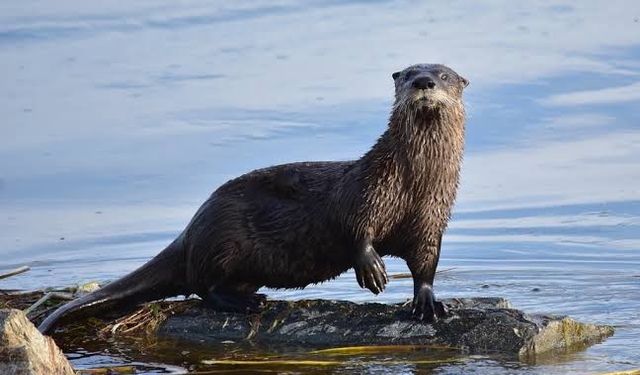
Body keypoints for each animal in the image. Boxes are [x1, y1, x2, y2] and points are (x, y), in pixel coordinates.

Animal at [40, 64, 470, 334]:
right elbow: (352, 227)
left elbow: (426, 262)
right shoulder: (367, 191)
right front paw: (372, 268)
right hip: (223, 240)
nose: (424, 82)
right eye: (408, 74)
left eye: (443, 75)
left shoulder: (431, 218)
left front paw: (428, 302)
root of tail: (191, 230)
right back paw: (245, 302)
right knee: (203, 286)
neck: (413, 184)